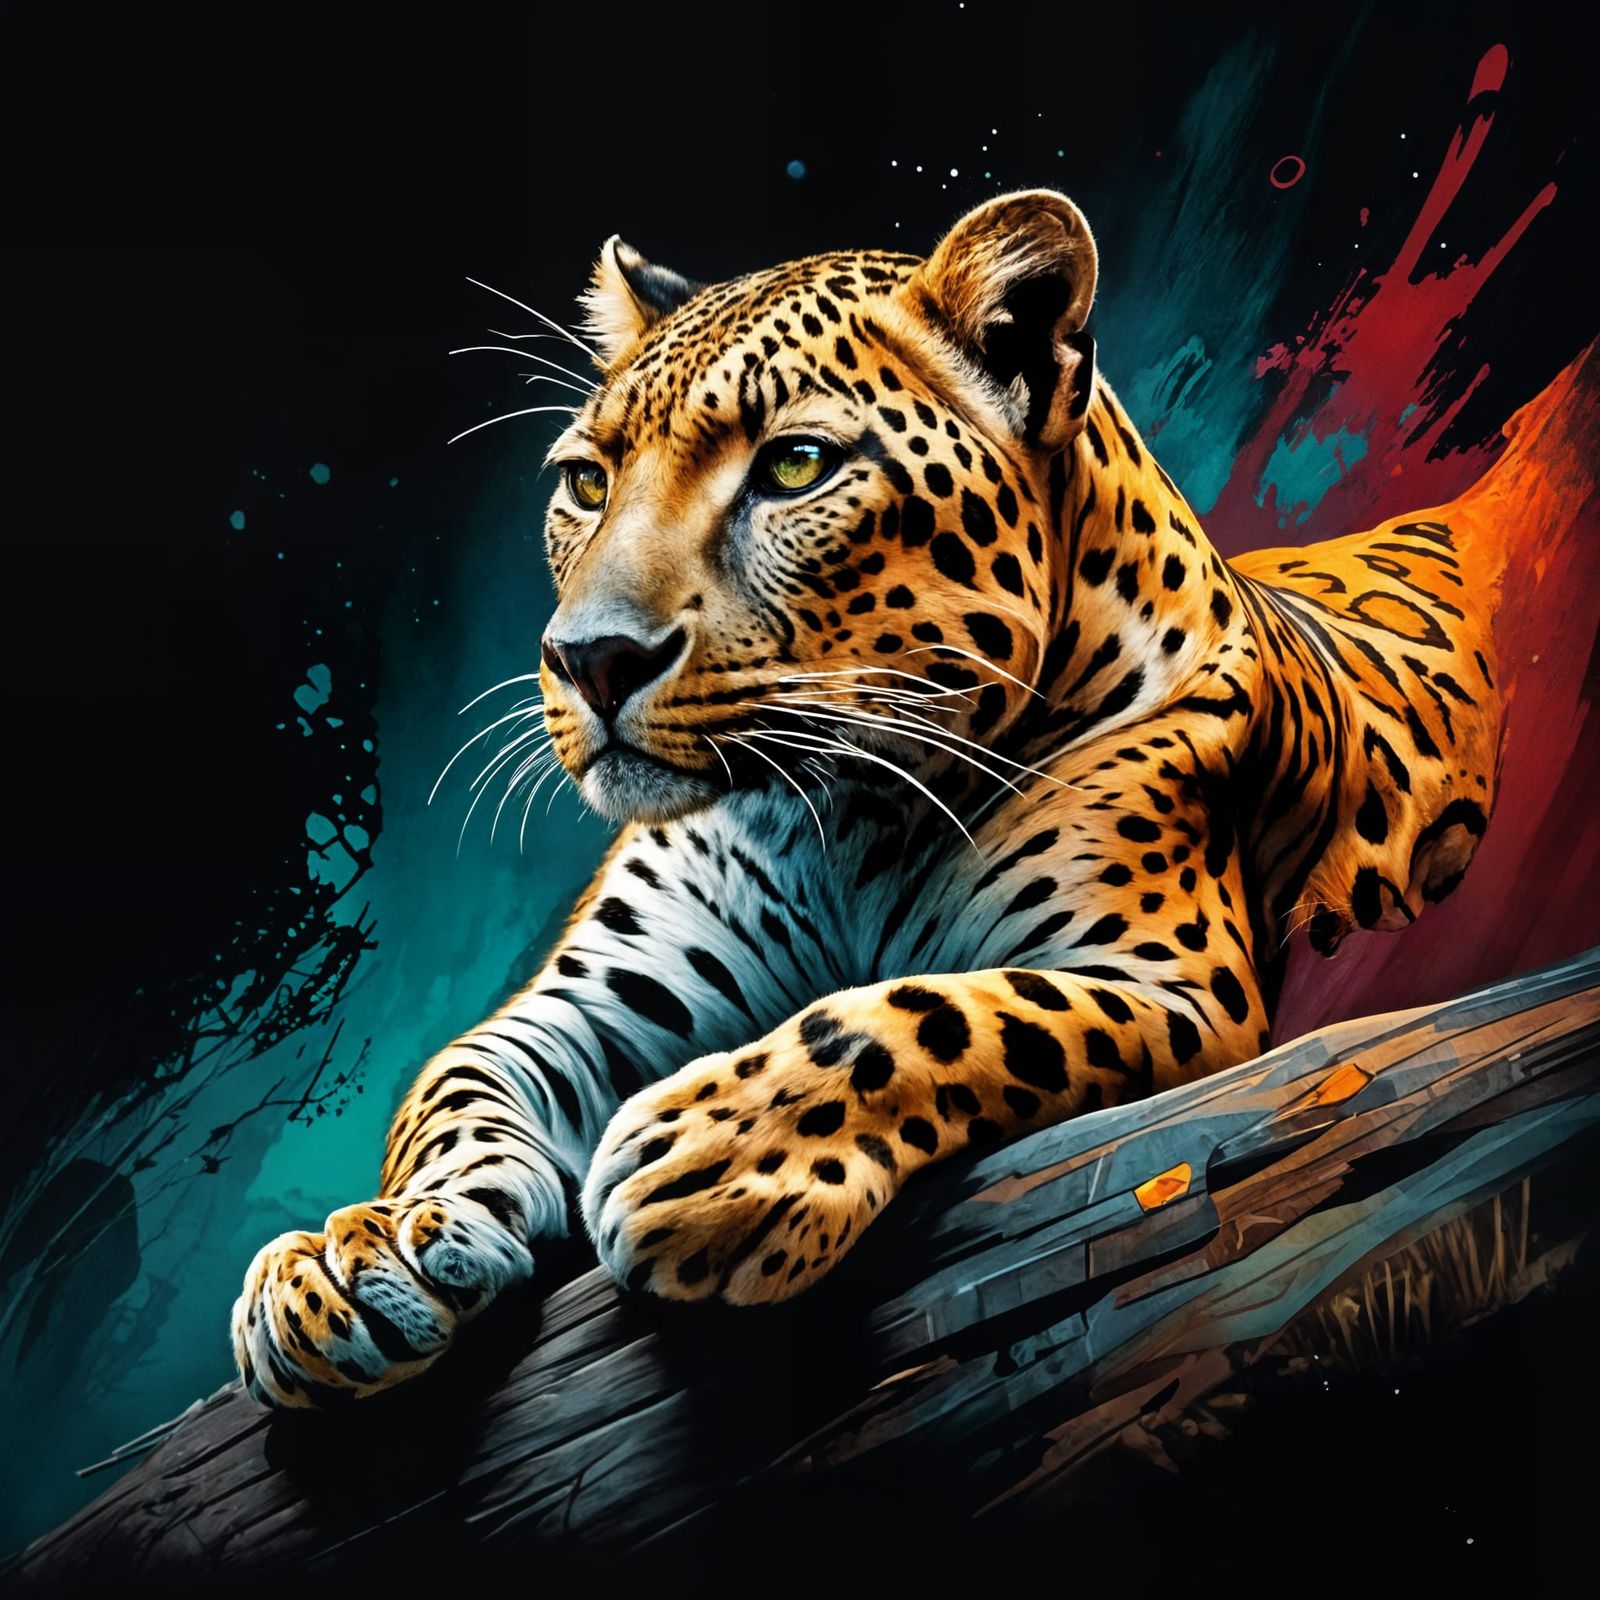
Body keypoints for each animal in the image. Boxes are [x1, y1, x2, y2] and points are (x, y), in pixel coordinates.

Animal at [231, 191, 1503, 1406]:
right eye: (586, 483)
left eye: (794, 466)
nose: (588, 658)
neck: (829, 816)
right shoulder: (588, 1005)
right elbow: (451, 1089)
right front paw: (359, 1250)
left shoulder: (1181, 988)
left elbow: (933, 1012)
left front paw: (714, 1155)